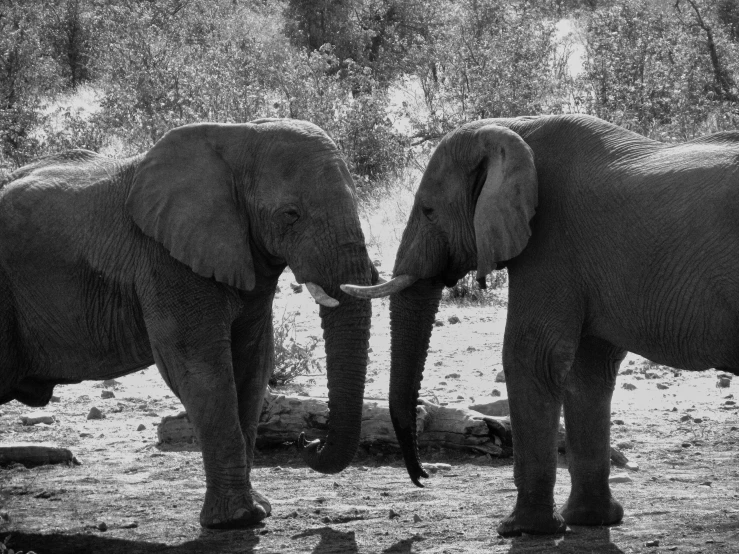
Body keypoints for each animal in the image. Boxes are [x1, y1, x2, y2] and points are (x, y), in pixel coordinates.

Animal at [1, 119, 376, 528]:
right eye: (291, 214)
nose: (308, 438)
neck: (236, 136)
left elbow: (252, 368)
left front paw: (256, 510)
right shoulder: (164, 260)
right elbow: (202, 371)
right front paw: (236, 519)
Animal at [344, 113, 739, 536]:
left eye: (428, 210)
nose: (424, 477)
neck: (514, 128)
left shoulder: (550, 242)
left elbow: (530, 357)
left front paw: (520, 528)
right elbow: (587, 371)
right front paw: (588, 521)